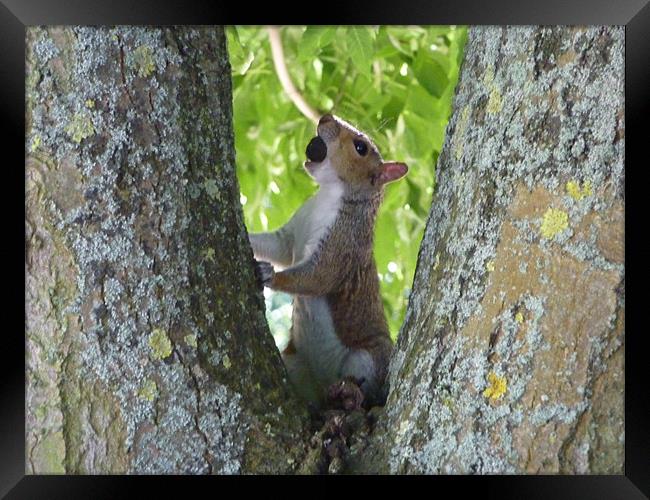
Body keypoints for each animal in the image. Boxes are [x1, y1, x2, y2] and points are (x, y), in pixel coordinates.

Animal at [248, 115, 404, 408]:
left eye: (361, 147)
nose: (325, 117)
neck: (327, 196)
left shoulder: (343, 245)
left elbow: (317, 277)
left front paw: (268, 275)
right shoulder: (290, 235)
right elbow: (276, 246)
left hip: (366, 358)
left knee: (366, 389)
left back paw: (351, 394)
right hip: (295, 361)